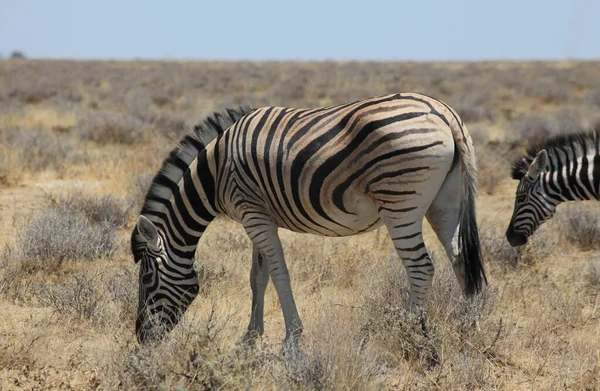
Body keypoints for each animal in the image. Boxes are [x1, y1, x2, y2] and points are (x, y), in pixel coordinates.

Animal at [132, 93, 488, 348]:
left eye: (147, 278)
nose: (141, 339)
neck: (216, 173)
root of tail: (443, 112)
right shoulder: (260, 214)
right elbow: (258, 277)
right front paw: (250, 338)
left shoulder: (253, 214)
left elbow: (279, 275)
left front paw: (291, 338)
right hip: (443, 202)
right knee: (461, 259)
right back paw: (469, 328)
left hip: (400, 203)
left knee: (421, 267)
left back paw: (408, 333)